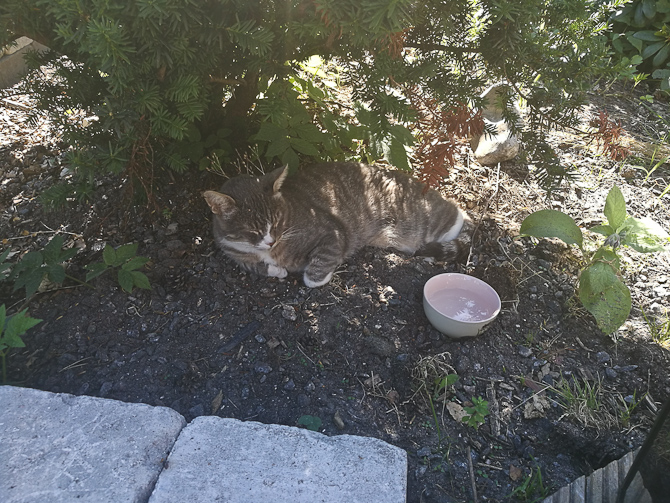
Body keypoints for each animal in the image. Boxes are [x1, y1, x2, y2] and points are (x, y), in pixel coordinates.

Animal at [205, 161, 472, 288]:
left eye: (278, 222)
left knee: (456, 217)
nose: (271, 241)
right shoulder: (234, 253)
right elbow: (254, 266)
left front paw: (319, 273)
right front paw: (276, 270)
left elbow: (314, 273)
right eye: (253, 230)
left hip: (424, 222)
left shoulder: (332, 232)